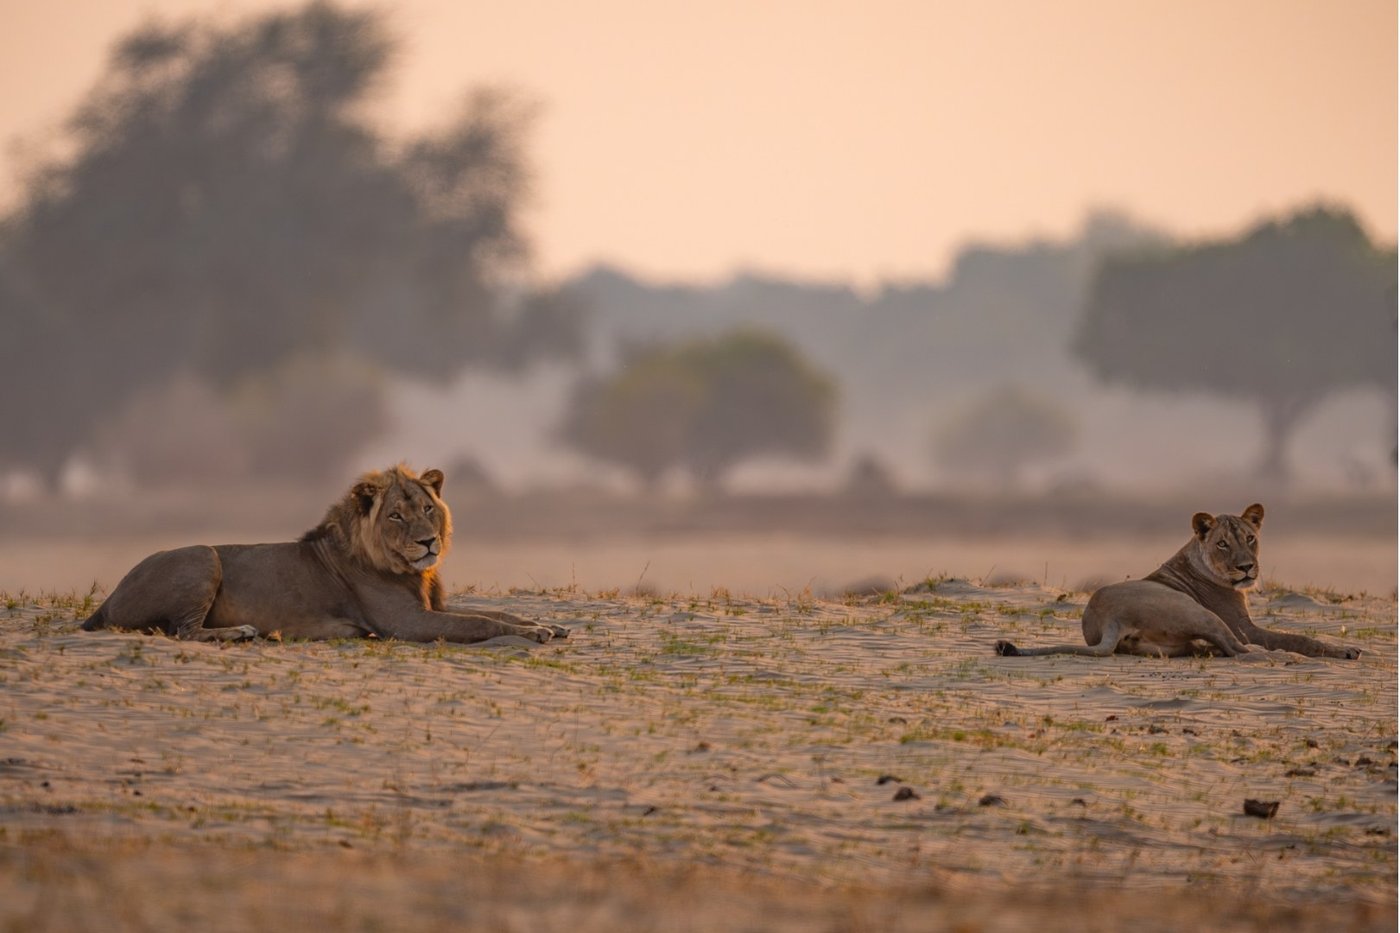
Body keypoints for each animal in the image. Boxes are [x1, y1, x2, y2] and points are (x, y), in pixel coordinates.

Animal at [81, 465, 567, 646]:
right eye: (396, 515)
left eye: (427, 508)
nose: (429, 542)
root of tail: (106, 601)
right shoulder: (406, 623)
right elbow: (480, 623)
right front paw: (538, 632)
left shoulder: (434, 607)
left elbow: (498, 612)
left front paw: (548, 624)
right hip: (202, 556)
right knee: (183, 631)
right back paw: (242, 632)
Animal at [994, 503, 1360, 660]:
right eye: (1223, 544)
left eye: (1250, 538)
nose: (1246, 568)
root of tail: (1108, 618)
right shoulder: (1244, 626)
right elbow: (1295, 637)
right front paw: (1345, 650)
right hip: (1198, 613)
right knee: (1238, 650)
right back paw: (1277, 656)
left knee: (1215, 648)